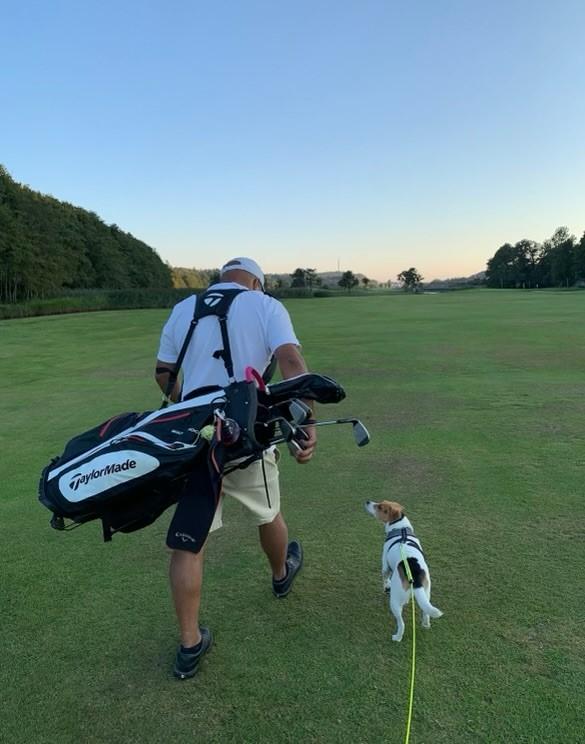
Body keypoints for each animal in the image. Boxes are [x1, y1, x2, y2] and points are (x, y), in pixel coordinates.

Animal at [362, 502, 440, 644]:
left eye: (380, 507)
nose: (367, 502)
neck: (401, 529)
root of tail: (414, 575)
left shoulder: (385, 566)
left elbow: (385, 578)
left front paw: (386, 587)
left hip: (394, 602)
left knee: (401, 623)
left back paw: (397, 637)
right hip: (426, 593)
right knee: (426, 612)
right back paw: (425, 624)